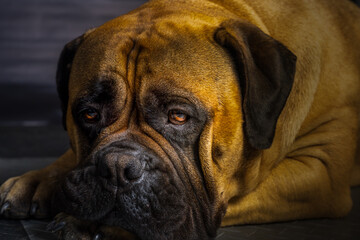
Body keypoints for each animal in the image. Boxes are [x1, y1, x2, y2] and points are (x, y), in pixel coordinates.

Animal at [0, 0, 360, 239]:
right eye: (89, 114)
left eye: (178, 116)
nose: (116, 167)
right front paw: (38, 180)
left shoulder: (319, 172)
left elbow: (237, 196)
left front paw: (93, 223)